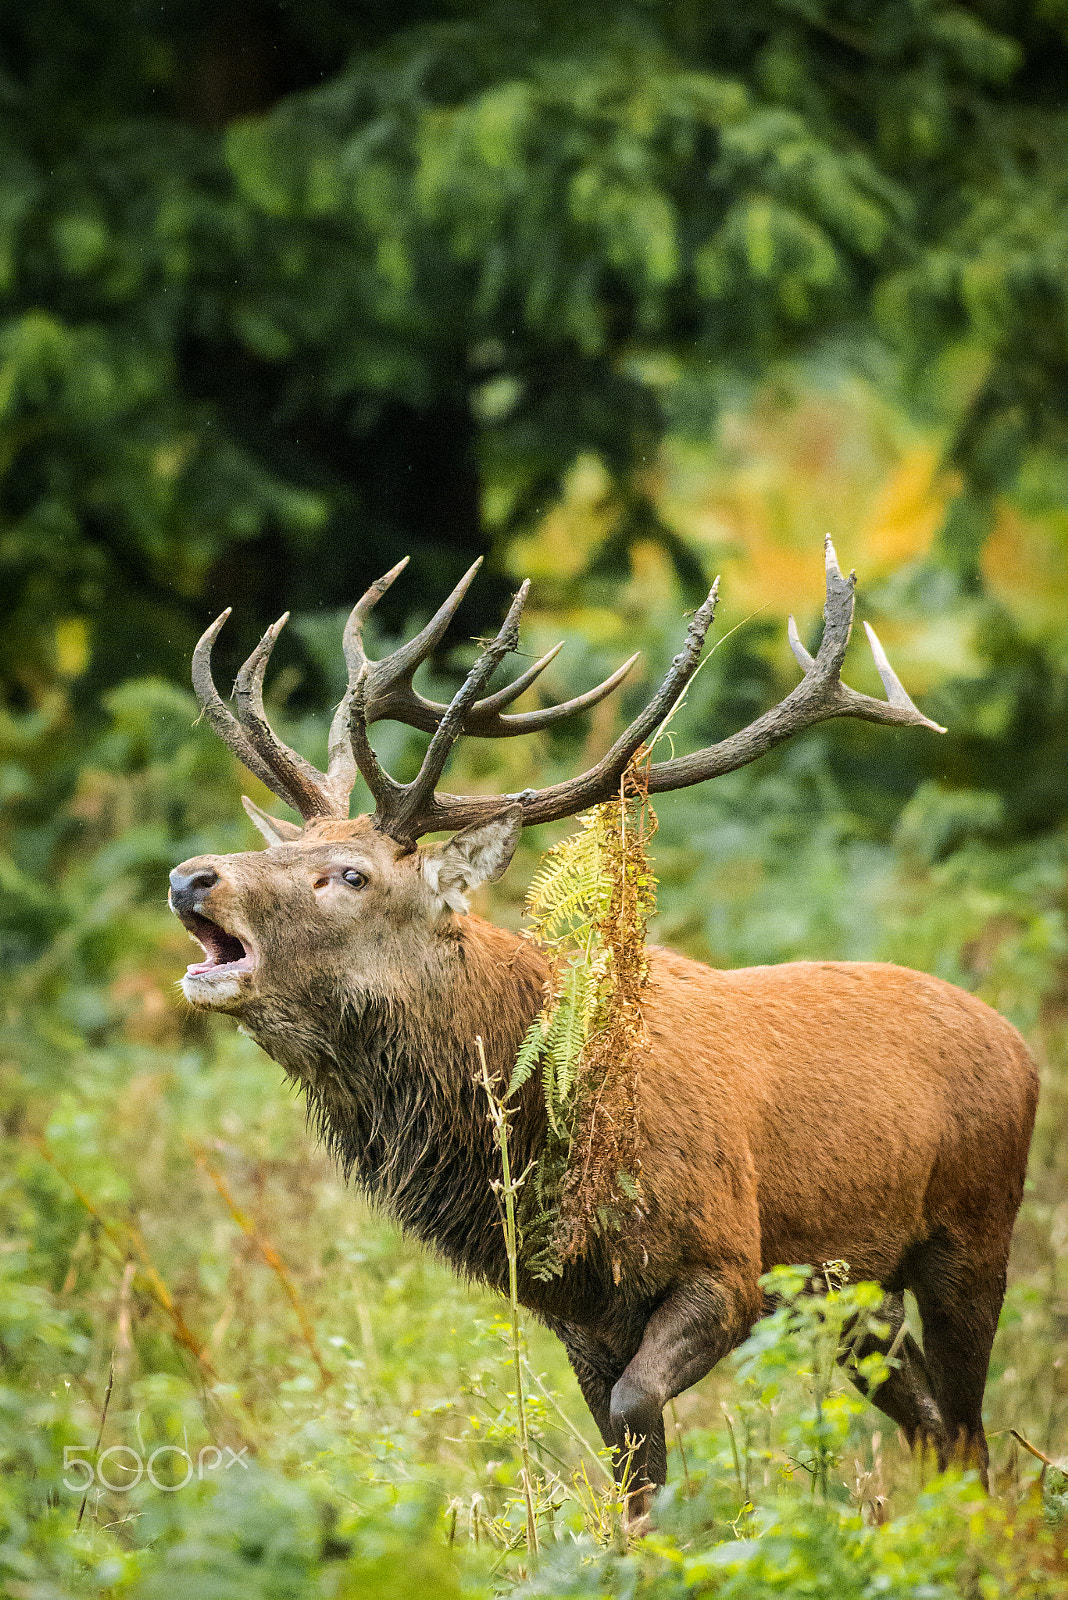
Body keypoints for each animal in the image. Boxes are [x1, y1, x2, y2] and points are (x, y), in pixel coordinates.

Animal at [169, 540, 1038, 1515]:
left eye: (351, 875)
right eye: (280, 848)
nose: (192, 876)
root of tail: (1020, 1044)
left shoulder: (729, 1264)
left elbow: (636, 1415)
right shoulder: (577, 1313)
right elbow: (629, 1474)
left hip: (974, 1230)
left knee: (967, 1425)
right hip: (857, 1295)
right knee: (933, 1425)